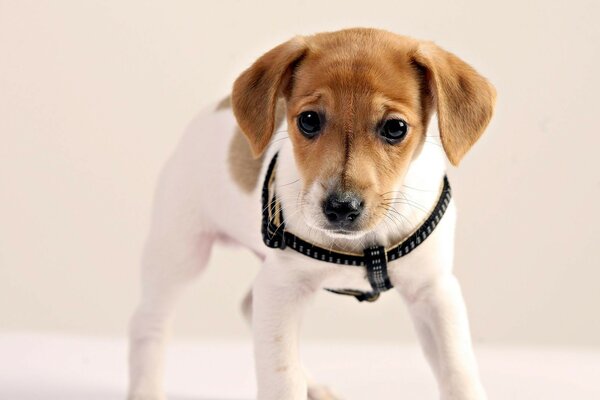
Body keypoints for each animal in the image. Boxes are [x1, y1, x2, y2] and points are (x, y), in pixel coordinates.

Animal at [127, 28, 496, 400]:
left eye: (395, 128)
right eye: (309, 120)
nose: (341, 207)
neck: (362, 245)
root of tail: (216, 109)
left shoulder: (434, 291)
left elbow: (458, 372)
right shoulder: (281, 288)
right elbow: (282, 378)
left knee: (248, 305)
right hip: (179, 252)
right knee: (149, 322)